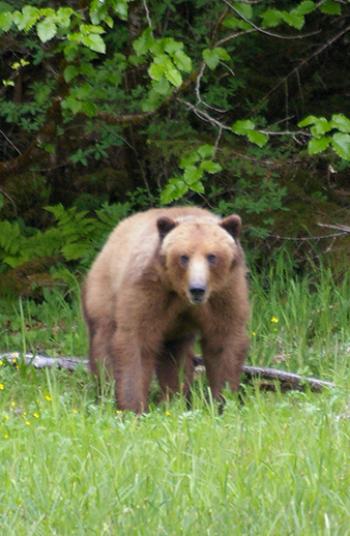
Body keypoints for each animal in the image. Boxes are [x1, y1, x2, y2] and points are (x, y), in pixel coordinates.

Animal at [82, 207, 249, 412]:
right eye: (184, 256)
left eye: (212, 256)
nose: (197, 289)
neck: (180, 292)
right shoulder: (149, 289)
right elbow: (136, 340)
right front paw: (133, 407)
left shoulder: (225, 293)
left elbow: (224, 341)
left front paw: (222, 401)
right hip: (104, 293)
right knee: (103, 343)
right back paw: (105, 392)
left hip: (176, 328)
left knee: (174, 357)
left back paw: (176, 399)